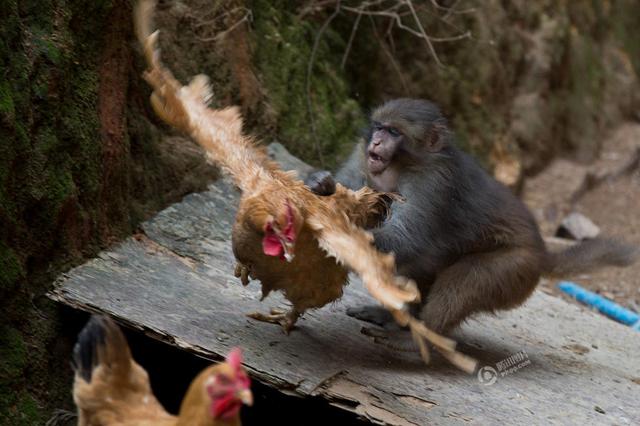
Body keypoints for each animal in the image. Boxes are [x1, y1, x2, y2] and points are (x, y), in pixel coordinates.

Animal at [306, 98, 636, 334]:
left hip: (515, 267)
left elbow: (407, 237)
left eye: (394, 132)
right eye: (378, 127)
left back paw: (421, 332)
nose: (376, 142)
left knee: (462, 282)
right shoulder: (362, 155)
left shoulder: (433, 182)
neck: (403, 165)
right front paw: (320, 184)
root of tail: (542, 252)